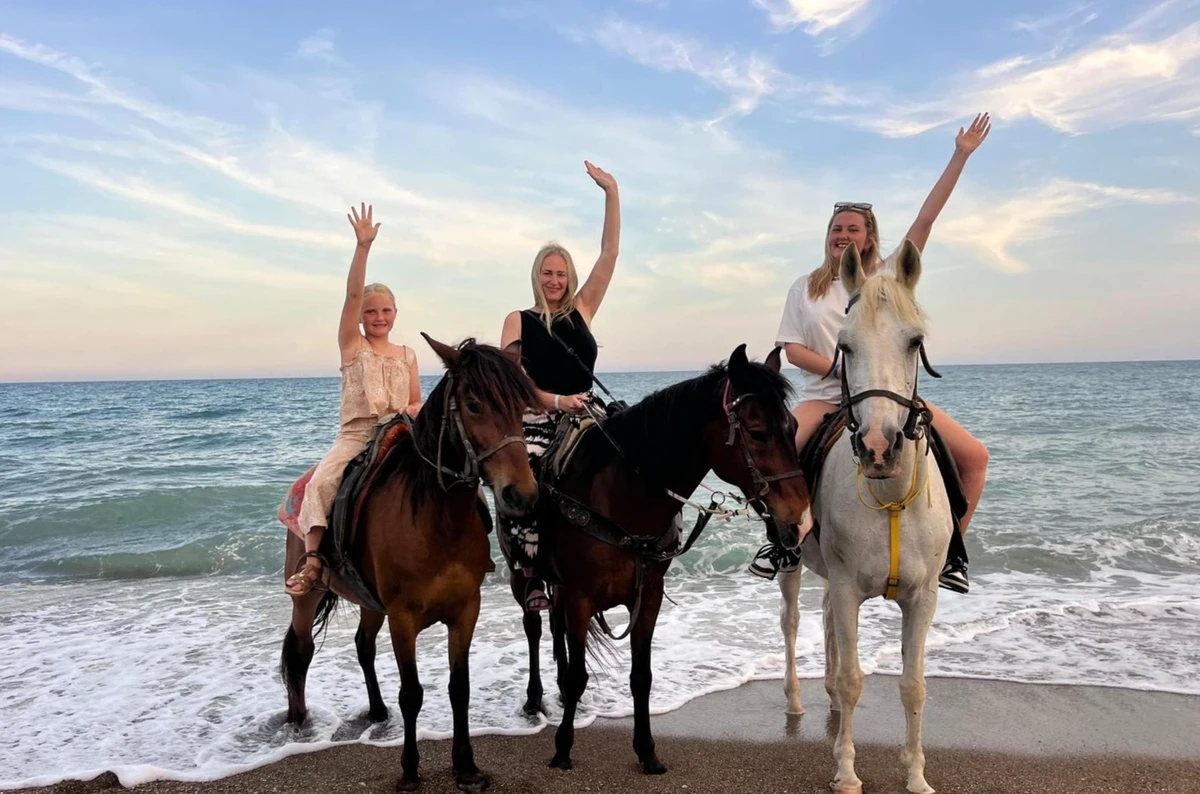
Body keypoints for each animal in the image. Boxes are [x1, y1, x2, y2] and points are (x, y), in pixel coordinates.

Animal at [280, 335, 539, 793]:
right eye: (473, 405)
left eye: (521, 406)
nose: (522, 495)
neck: (438, 519)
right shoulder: (403, 618)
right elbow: (413, 693)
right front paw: (409, 769)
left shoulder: (465, 611)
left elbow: (459, 688)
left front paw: (465, 765)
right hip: (308, 595)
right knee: (301, 650)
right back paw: (299, 721)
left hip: (369, 601)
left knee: (363, 646)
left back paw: (377, 711)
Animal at [505, 344, 814, 774]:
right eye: (758, 433)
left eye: (793, 427)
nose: (801, 521)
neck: (621, 498)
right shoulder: (581, 596)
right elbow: (579, 675)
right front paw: (563, 748)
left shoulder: (647, 596)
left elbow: (641, 676)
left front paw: (646, 750)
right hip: (523, 578)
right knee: (534, 628)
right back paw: (534, 699)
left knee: (556, 632)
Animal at [778, 240, 953, 794]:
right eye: (846, 347)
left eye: (915, 342)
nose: (879, 448)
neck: (890, 497)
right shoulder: (849, 589)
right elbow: (855, 679)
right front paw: (847, 771)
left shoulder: (922, 598)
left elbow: (913, 685)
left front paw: (916, 774)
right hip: (793, 566)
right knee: (792, 623)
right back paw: (796, 701)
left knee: (827, 626)